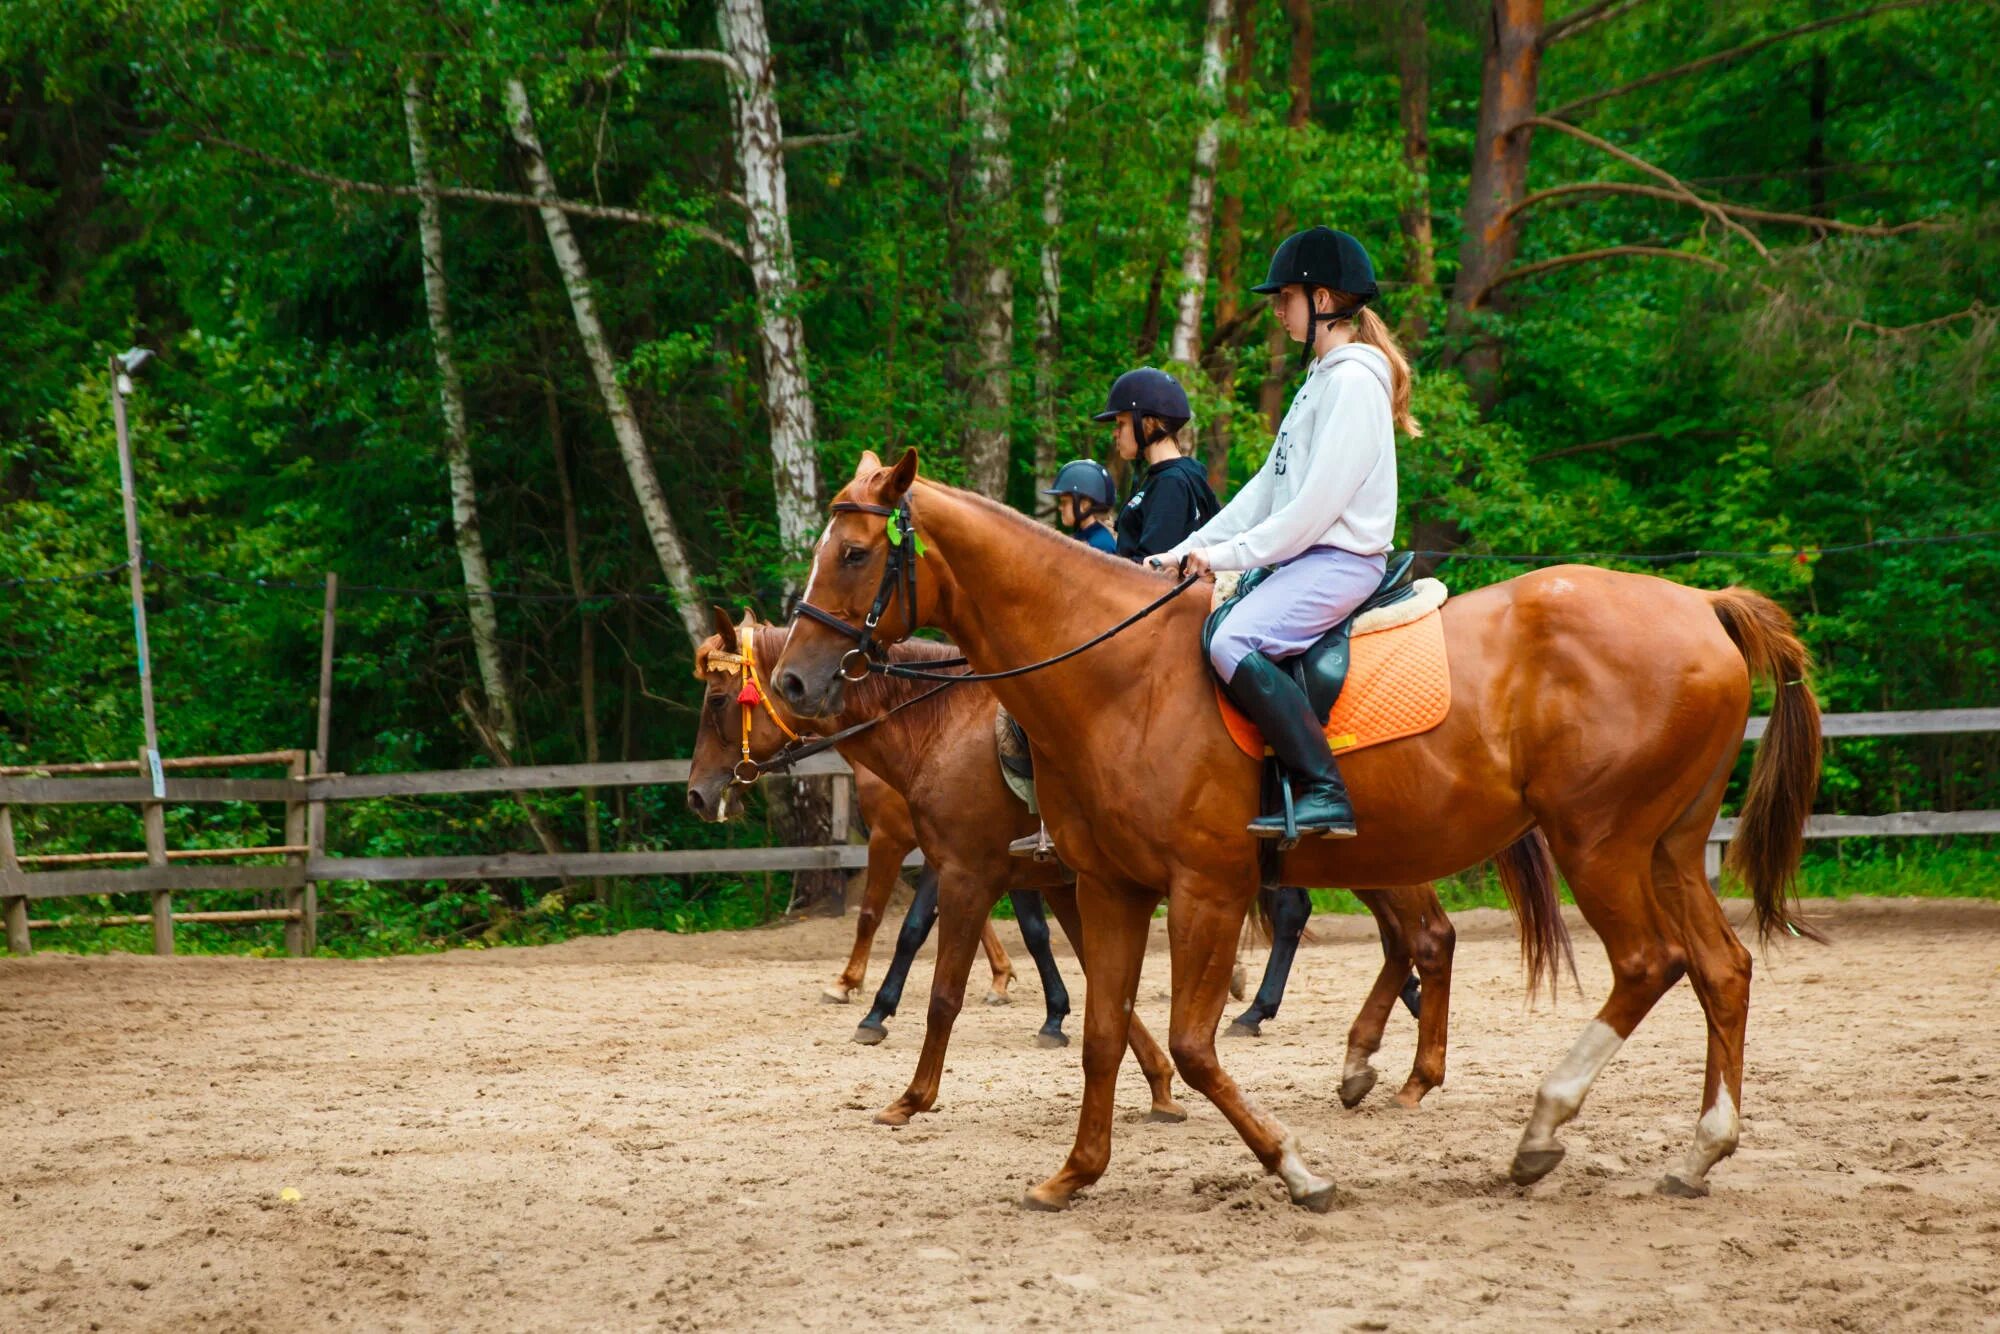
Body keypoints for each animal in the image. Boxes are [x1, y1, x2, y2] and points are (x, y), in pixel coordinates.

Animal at [692, 616, 1472, 1128]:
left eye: (717, 701)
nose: (698, 795)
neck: (941, 727)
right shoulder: (1066, 885)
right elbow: (1103, 984)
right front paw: (1157, 1085)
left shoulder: (961, 868)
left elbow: (930, 968)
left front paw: (898, 1067)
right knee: (1402, 939)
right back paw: (1364, 1055)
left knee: (1423, 936)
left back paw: (1399, 1066)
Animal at [772, 452, 1824, 1208]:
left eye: (856, 554)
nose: (794, 680)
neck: (1119, 677)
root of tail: (1702, 605)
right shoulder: (1111, 887)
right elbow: (1106, 1034)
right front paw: (1074, 1174)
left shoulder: (1200, 886)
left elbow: (1189, 1044)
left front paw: (1298, 1169)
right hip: (1667, 848)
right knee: (1721, 968)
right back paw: (1699, 1151)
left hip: (1600, 845)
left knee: (1646, 964)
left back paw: (1537, 1130)